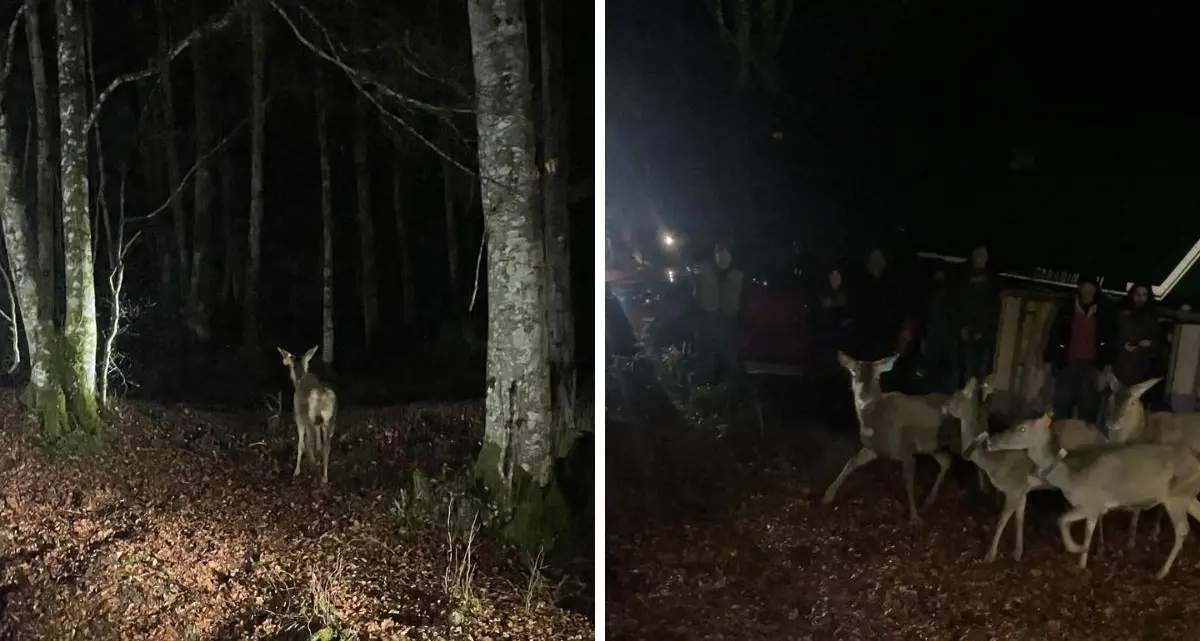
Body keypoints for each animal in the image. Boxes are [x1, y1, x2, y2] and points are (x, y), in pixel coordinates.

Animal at [276, 350, 338, 484]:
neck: (300, 379)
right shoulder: (319, 423)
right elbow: (319, 442)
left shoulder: (299, 418)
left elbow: (301, 444)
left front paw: (296, 471)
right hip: (330, 420)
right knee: (327, 446)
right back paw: (324, 476)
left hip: (308, 419)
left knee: (309, 443)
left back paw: (314, 471)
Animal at [825, 355, 955, 525]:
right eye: (854, 373)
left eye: (877, 376)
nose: (864, 397)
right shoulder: (874, 448)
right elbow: (851, 462)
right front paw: (827, 496)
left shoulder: (906, 449)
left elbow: (908, 483)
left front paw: (914, 518)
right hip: (932, 446)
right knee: (946, 461)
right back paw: (929, 500)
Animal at [979, 415, 1200, 580]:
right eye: (1014, 424)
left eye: (1022, 429)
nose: (991, 441)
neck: (1071, 479)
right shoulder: (1093, 507)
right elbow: (1088, 529)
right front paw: (1083, 560)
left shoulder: (1092, 503)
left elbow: (1062, 520)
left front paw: (1076, 548)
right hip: (1188, 496)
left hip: (1176, 497)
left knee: (1183, 529)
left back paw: (1161, 572)